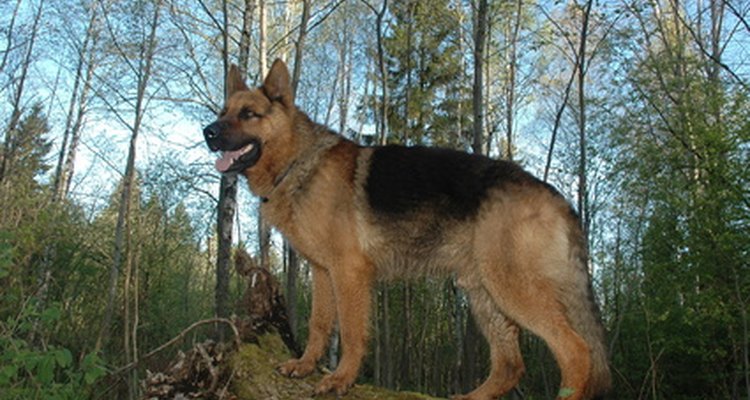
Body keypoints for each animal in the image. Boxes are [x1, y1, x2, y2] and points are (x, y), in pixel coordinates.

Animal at [204, 60, 612, 400]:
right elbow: (319, 325)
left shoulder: (349, 274)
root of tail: (555, 195)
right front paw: (305, 365)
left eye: (248, 114)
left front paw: (341, 379)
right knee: (511, 365)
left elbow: (350, 332)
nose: (208, 132)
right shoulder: (322, 272)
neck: (296, 160)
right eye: (223, 113)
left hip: (511, 288)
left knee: (577, 352)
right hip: (484, 295)